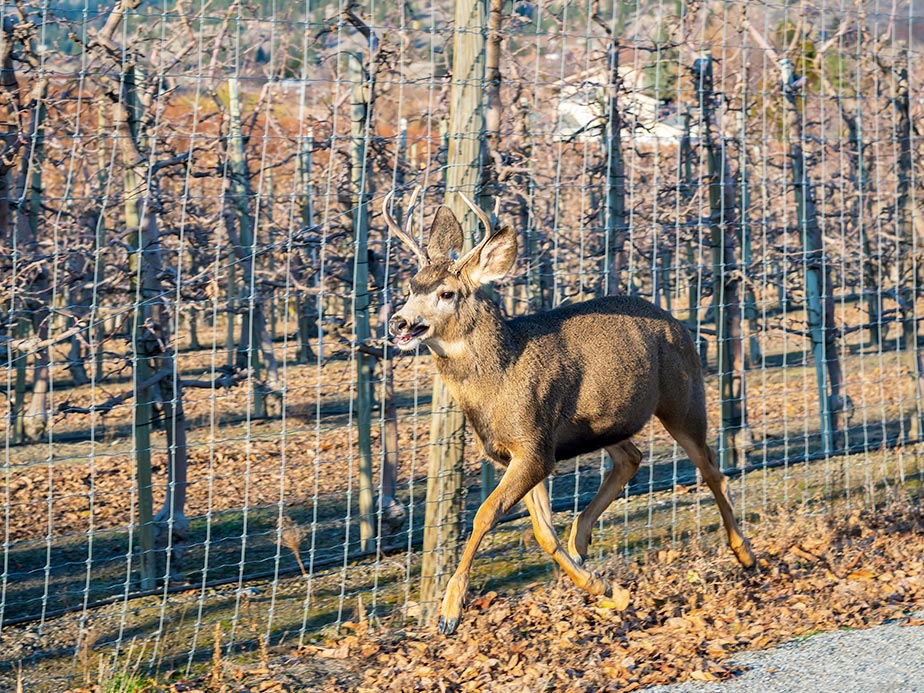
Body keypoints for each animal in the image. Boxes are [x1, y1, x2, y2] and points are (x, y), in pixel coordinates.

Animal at [382, 187, 752, 636]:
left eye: (447, 292)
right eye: (409, 287)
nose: (399, 323)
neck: (498, 379)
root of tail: (677, 322)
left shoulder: (534, 443)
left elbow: (485, 514)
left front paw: (449, 612)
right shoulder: (522, 451)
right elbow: (542, 531)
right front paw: (603, 588)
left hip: (683, 398)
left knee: (712, 469)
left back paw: (746, 554)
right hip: (608, 420)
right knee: (632, 457)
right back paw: (581, 541)